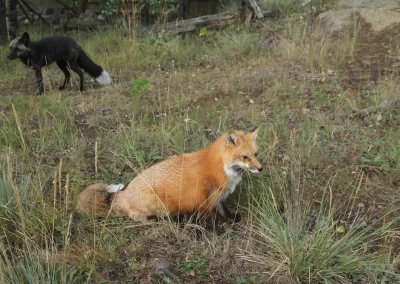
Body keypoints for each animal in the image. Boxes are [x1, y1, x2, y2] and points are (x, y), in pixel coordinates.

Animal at [75, 127, 262, 223]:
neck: (221, 167)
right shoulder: (204, 199)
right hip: (159, 205)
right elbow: (203, 220)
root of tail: (124, 194)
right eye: (244, 157)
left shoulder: (217, 196)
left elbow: (224, 209)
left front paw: (231, 218)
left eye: (256, 154)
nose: (260, 169)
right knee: (136, 217)